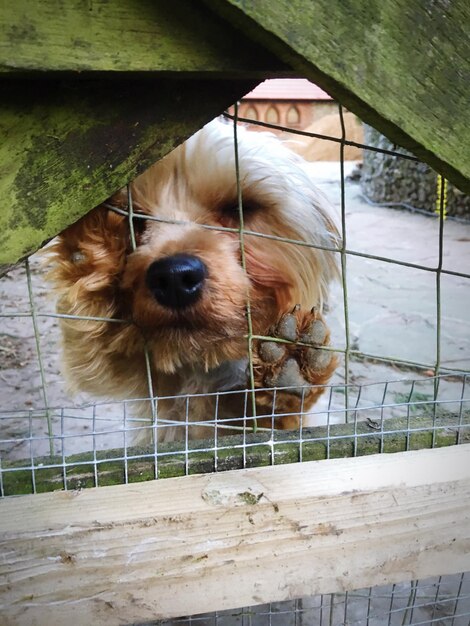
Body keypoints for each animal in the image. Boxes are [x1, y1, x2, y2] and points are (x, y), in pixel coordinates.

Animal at [47, 117, 340, 438]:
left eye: (239, 208)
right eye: (135, 219)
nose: (174, 277)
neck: (202, 364)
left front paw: (288, 375)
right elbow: (91, 342)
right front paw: (89, 228)